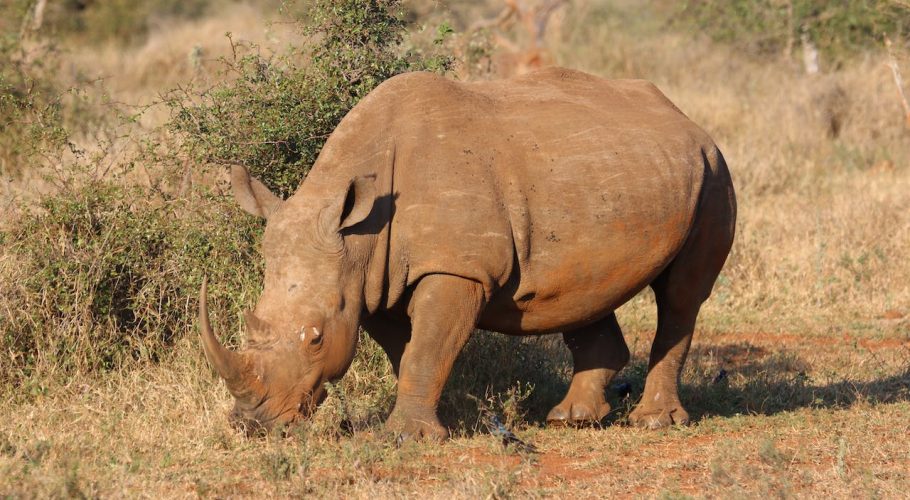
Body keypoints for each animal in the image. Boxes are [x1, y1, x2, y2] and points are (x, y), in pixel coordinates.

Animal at [199, 67, 736, 439]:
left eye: (315, 339)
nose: (253, 423)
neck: (359, 237)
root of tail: (686, 119)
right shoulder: (374, 281)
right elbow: (409, 350)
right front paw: (440, 420)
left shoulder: (457, 268)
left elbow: (427, 346)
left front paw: (404, 437)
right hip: (611, 176)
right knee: (585, 289)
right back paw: (572, 419)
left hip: (712, 171)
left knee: (681, 297)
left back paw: (654, 422)